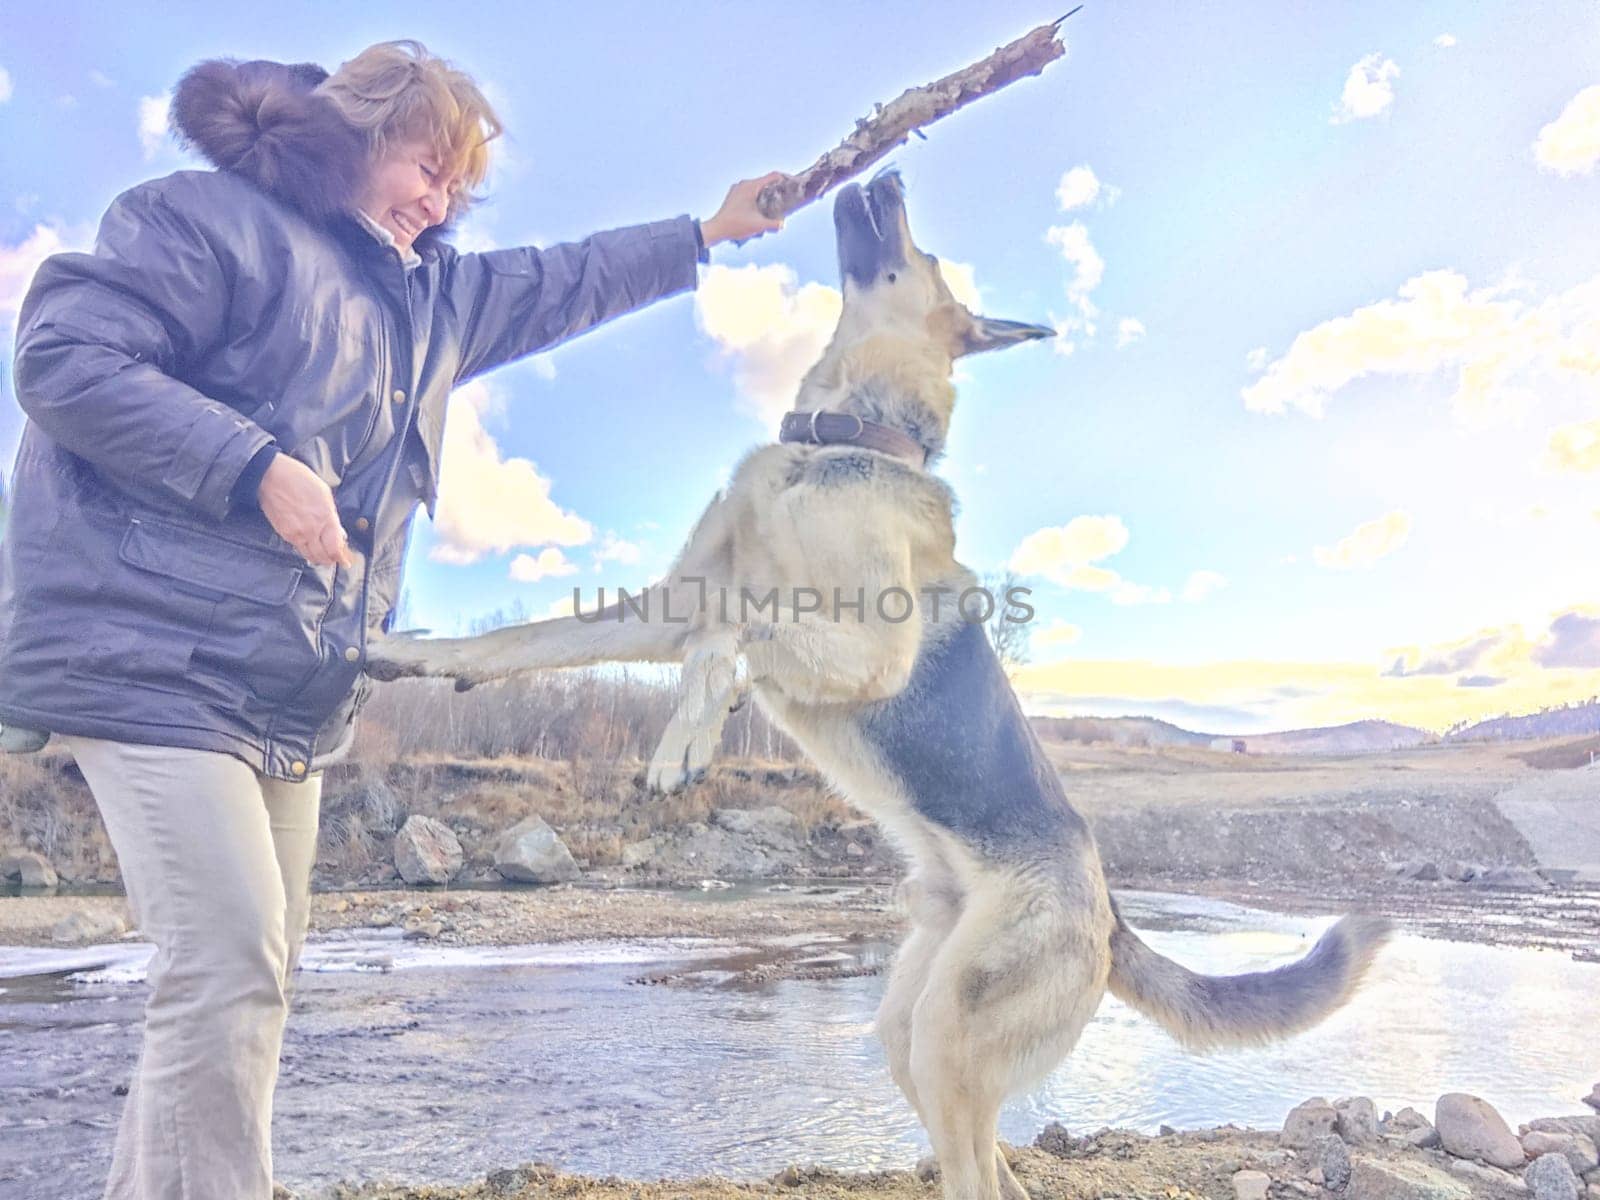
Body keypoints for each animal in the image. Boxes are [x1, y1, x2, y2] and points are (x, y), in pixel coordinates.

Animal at [371, 171, 1388, 1200]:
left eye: (925, 255)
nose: (890, 176)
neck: (840, 438)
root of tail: (1111, 921)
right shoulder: (667, 602)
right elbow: (528, 639)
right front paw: (411, 655)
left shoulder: (866, 642)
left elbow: (734, 623)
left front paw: (689, 733)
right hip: (912, 1030)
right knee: (995, 1170)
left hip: (949, 1033)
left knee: (978, 1172)